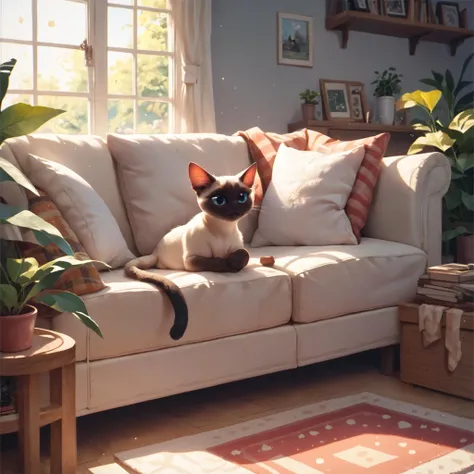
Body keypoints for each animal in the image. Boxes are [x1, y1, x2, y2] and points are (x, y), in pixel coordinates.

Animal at [124, 162, 258, 340]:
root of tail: (155, 252)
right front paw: (230, 265)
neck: (223, 230)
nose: (234, 208)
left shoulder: (239, 248)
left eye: (242, 197)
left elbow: (244, 254)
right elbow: (217, 261)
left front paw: (234, 261)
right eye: (219, 200)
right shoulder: (192, 260)